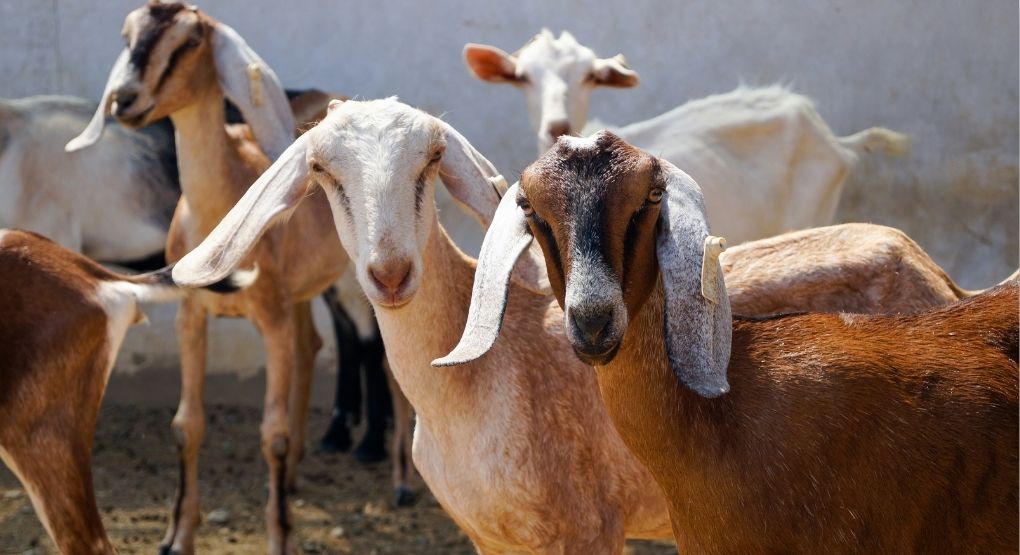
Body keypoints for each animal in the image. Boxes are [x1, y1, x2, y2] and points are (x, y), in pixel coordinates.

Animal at [65, 3, 352, 552]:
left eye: (190, 41)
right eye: (128, 34)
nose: (125, 98)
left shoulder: (272, 319)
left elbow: (272, 435)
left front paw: (279, 539)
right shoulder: (190, 314)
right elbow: (186, 424)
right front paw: (177, 536)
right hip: (302, 296)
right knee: (311, 346)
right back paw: (294, 479)